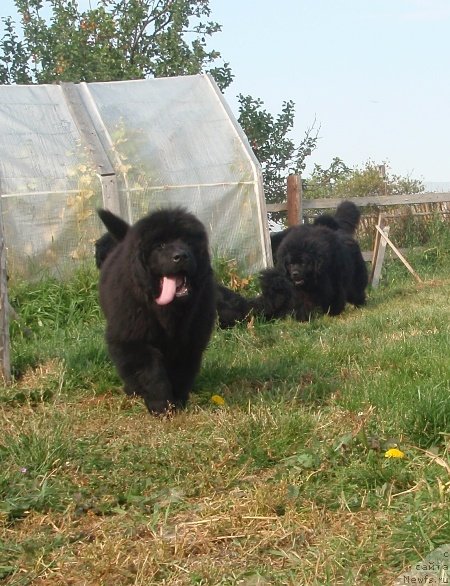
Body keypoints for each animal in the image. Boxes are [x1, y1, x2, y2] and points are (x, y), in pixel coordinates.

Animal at [98, 208, 216, 412]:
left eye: (188, 242)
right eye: (160, 245)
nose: (181, 256)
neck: (169, 310)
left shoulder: (189, 341)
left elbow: (181, 372)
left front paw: (177, 400)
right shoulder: (133, 338)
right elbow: (151, 372)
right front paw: (161, 405)